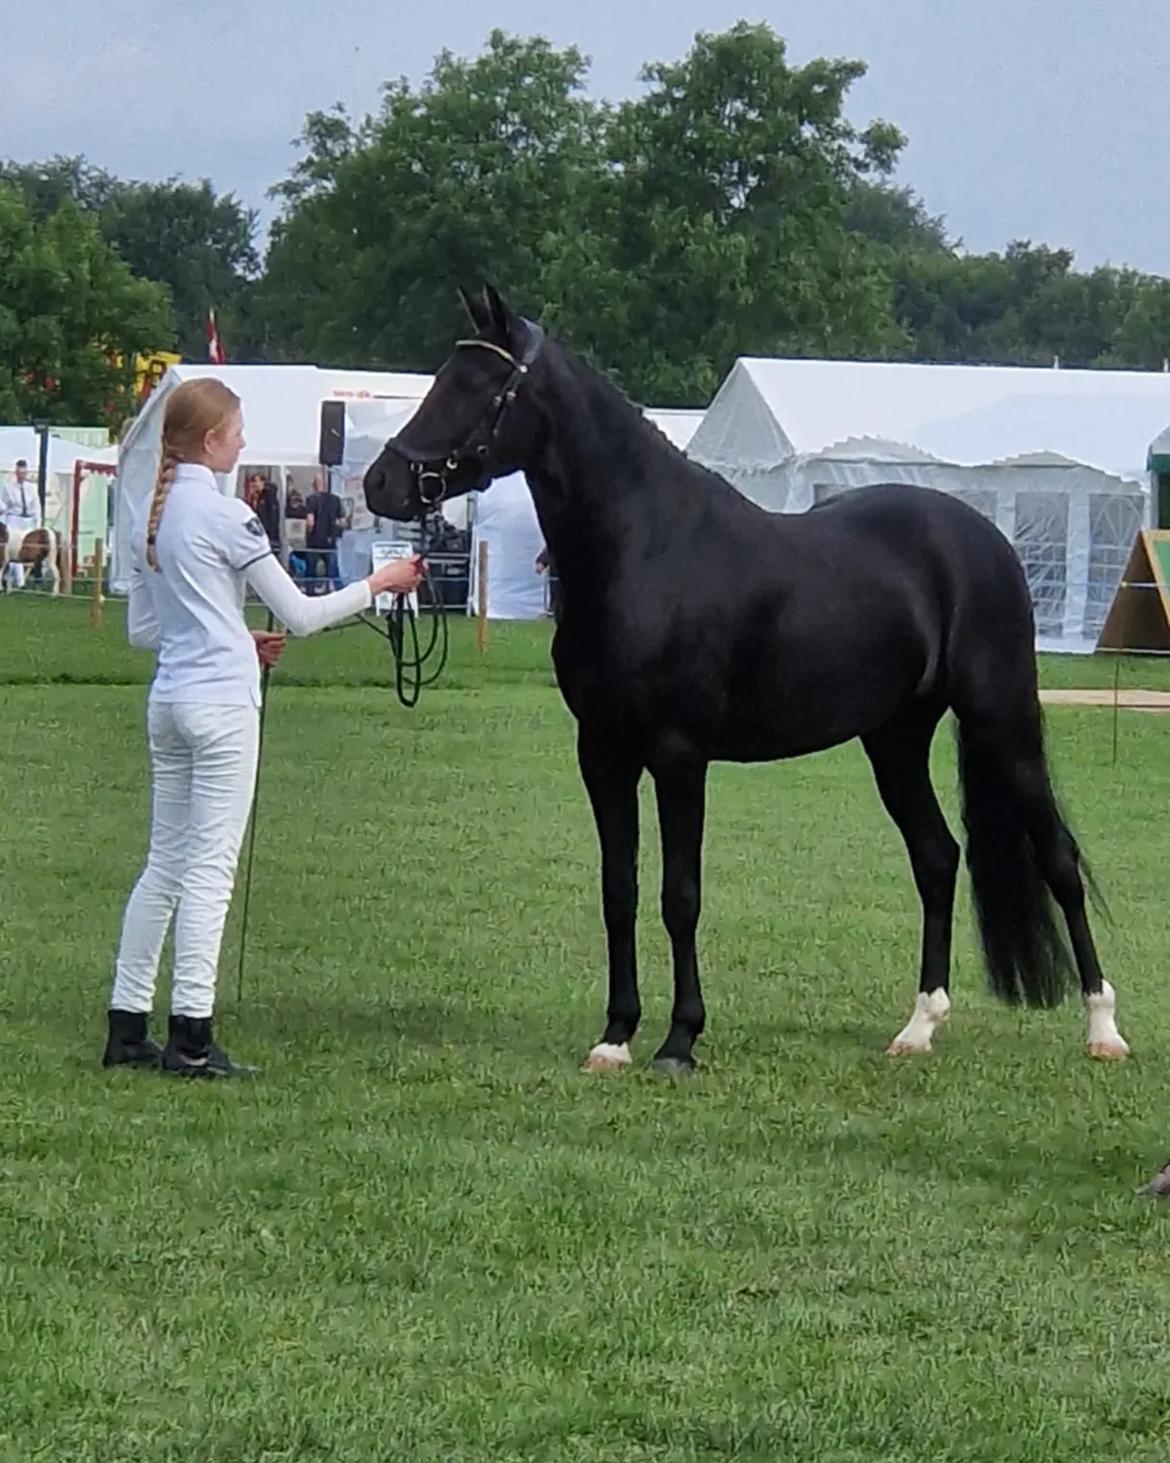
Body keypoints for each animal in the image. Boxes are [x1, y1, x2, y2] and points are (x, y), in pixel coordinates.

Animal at [362, 285, 1123, 1076]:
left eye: (477, 387)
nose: (381, 482)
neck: (647, 550)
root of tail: (985, 539)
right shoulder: (601, 752)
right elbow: (618, 889)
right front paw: (615, 1035)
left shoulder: (678, 756)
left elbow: (680, 895)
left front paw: (680, 1039)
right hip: (895, 740)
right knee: (938, 858)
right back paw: (918, 1028)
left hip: (1002, 721)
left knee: (1058, 857)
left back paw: (1103, 1027)